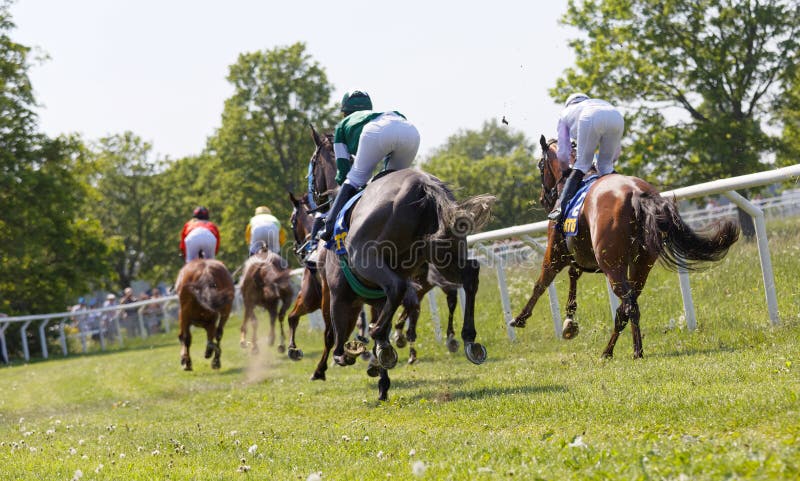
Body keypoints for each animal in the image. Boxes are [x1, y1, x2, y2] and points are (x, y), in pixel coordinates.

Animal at [510, 135, 740, 356]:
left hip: (612, 265)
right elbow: (573, 275)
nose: (543, 199)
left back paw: (632, 351)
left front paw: (520, 318)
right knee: (627, 306)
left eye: (540, 165)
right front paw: (569, 323)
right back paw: (612, 351)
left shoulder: (556, 253)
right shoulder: (580, 254)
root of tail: (638, 193)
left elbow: (541, 282)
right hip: (642, 263)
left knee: (629, 306)